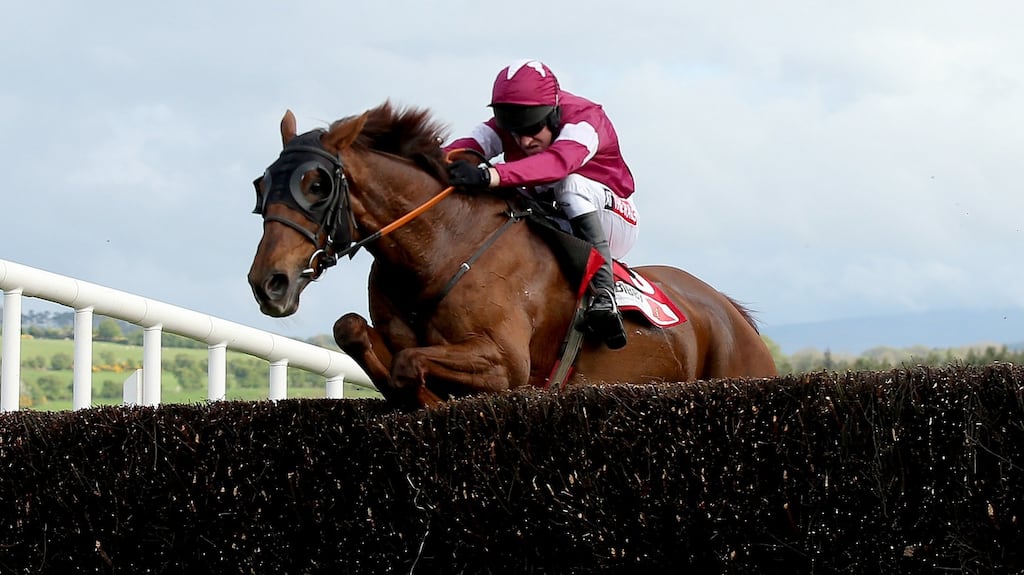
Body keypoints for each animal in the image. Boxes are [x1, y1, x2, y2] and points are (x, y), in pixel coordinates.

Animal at [247, 102, 778, 408]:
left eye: (316, 185)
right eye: (261, 184)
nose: (268, 282)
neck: (441, 249)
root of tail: (733, 314)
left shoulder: (506, 364)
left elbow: (409, 366)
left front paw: (428, 400)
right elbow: (353, 330)